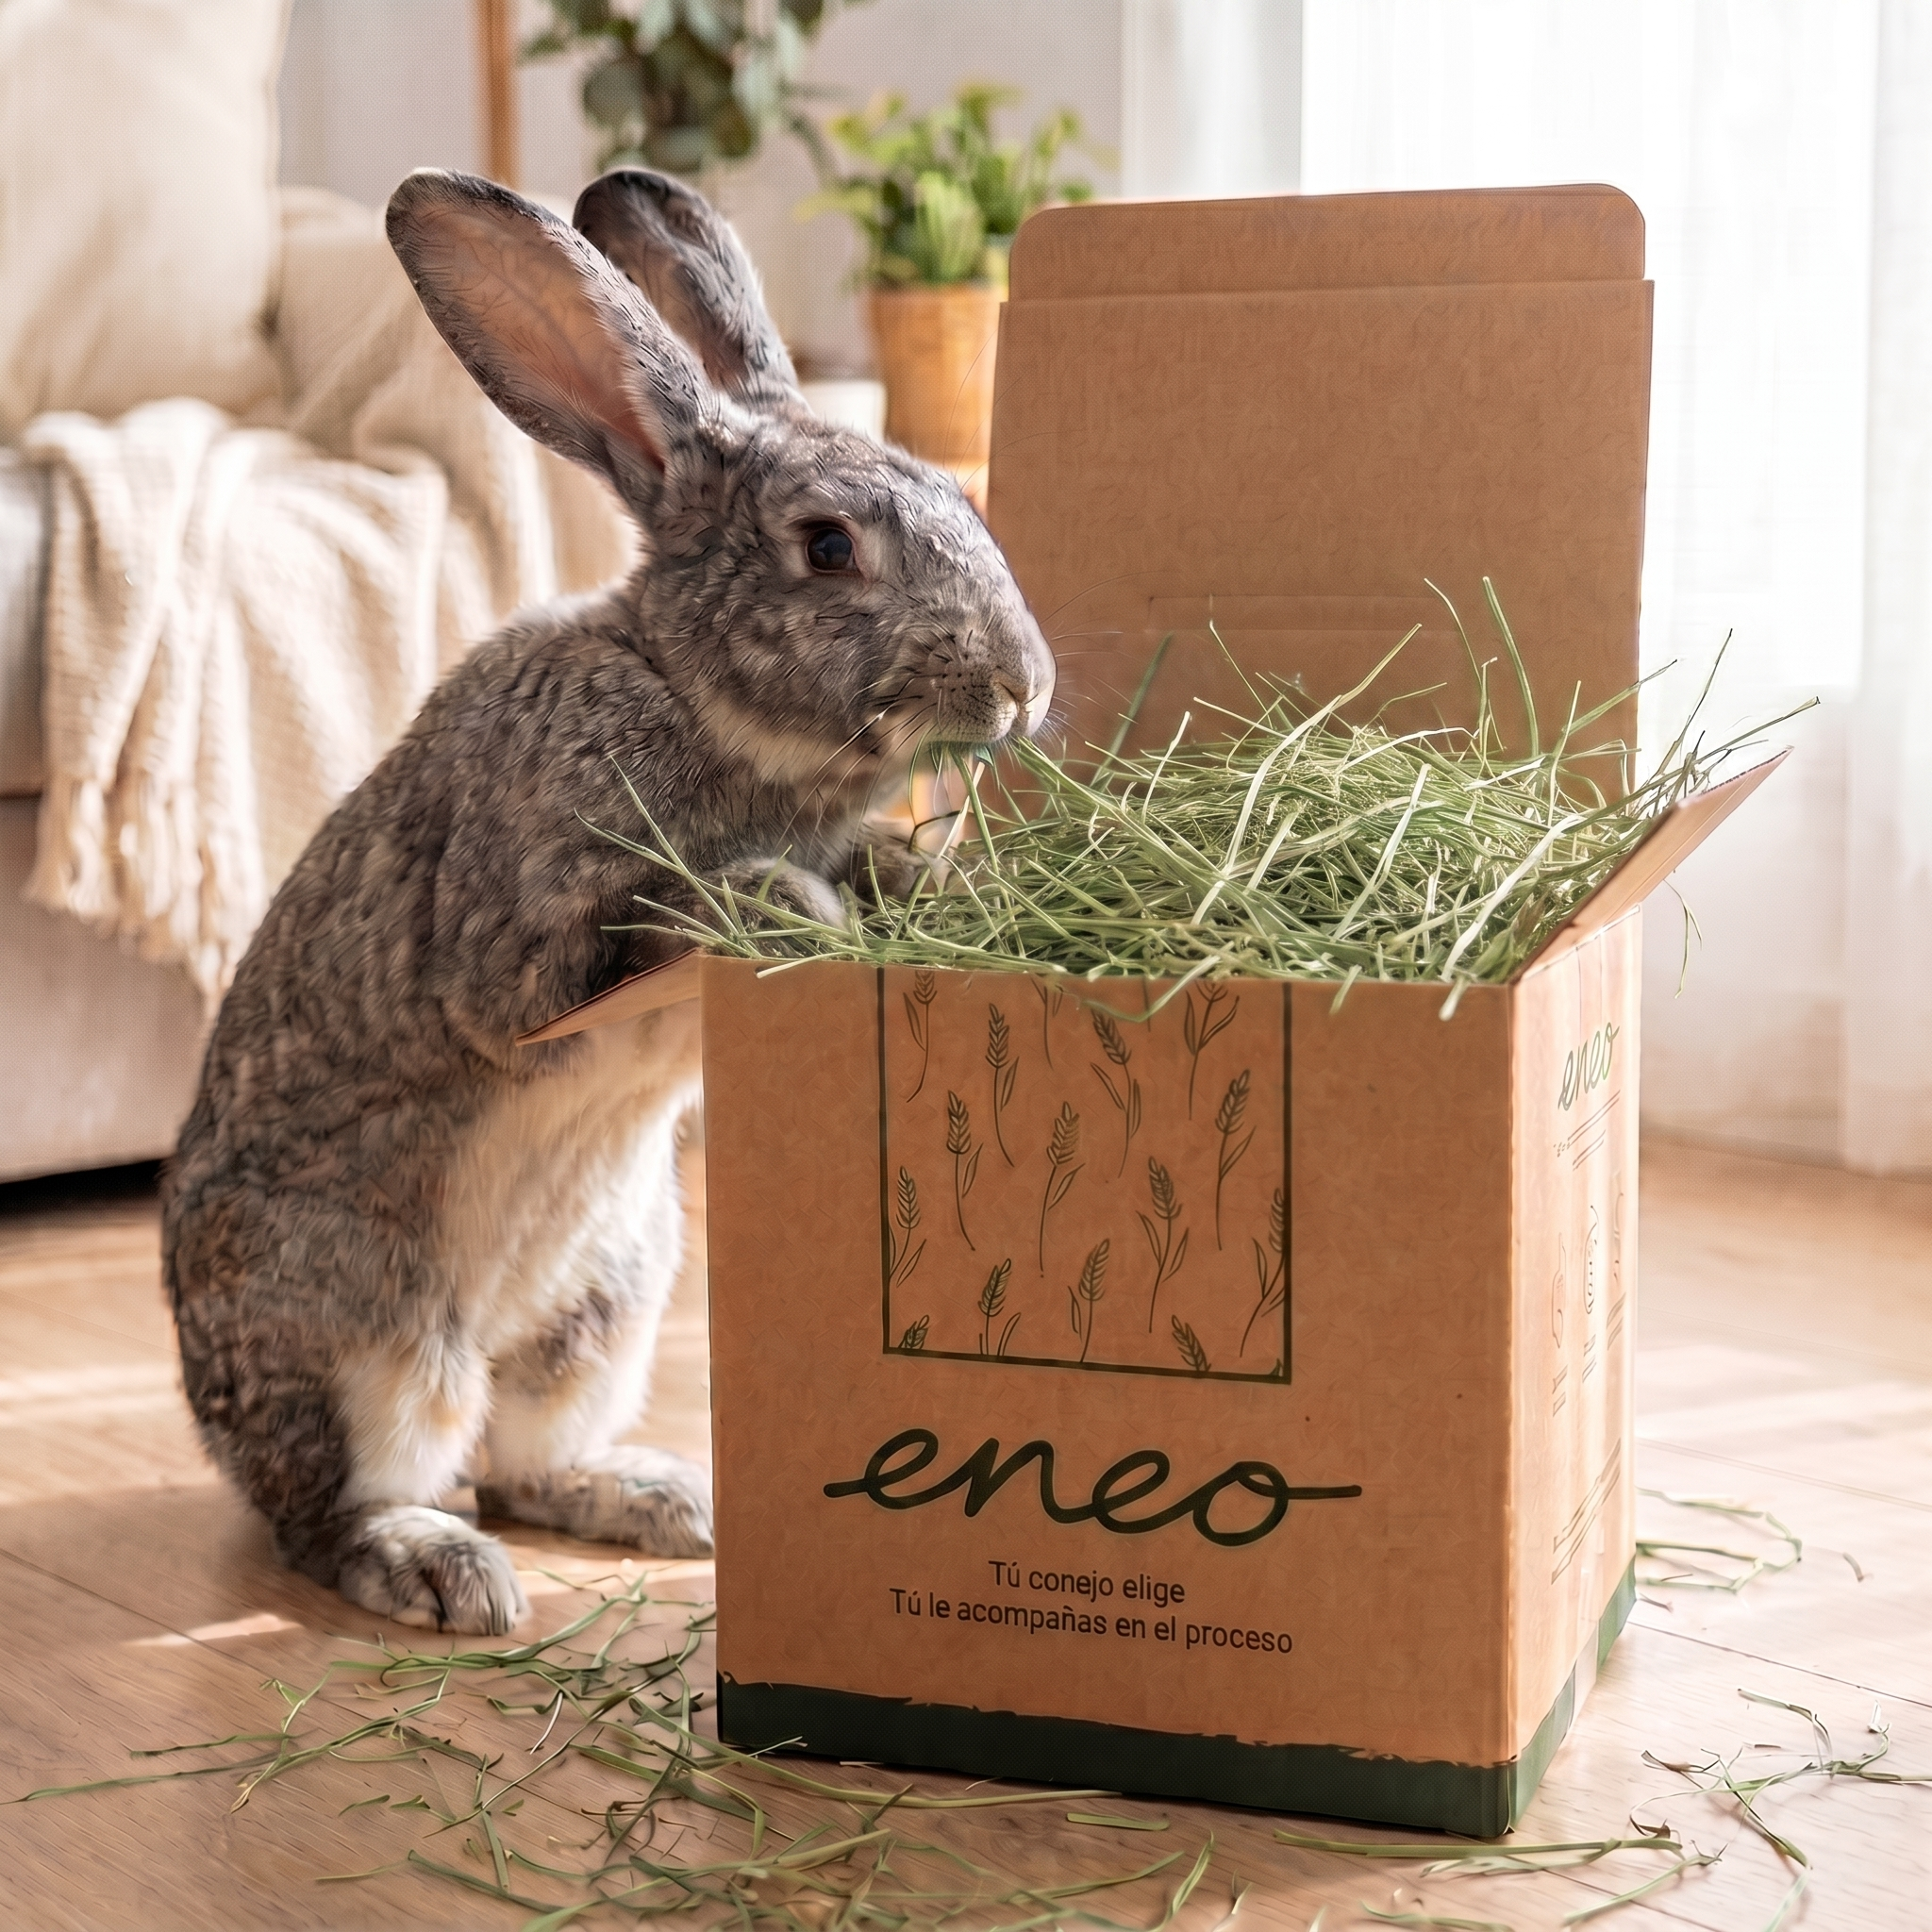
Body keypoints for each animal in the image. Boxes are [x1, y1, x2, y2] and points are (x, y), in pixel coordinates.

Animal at [160, 166, 1055, 1635]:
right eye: (826, 547)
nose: (1022, 686)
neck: (694, 697)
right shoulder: (520, 929)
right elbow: (619, 936)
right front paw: (784, 907)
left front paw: (921, 879)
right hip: (358, 1330)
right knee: (339, 1504)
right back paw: (440, 1570)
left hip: (608, 1305)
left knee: (525, 1460)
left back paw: (661, 1499)